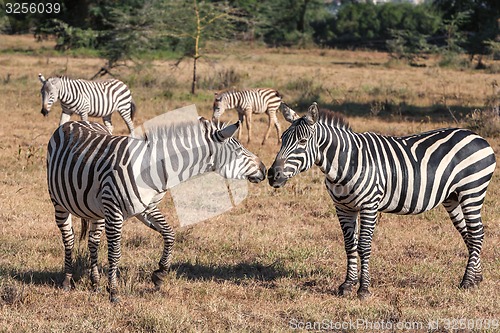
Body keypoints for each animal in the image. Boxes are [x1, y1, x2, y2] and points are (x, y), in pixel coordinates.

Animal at [46, 117, 266, 300]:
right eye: (240, 151)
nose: (264, 169)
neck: (153, 169)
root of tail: (74, 121)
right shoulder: (115, 211)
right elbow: (115, 252)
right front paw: (114, 291)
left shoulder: (146, 209)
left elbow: (170, 234)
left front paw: (160, 274)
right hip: (60, 202)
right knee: (69, 239)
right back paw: (67, 280)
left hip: (96, 209)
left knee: (93, 241)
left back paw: (95, 282)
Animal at [268, 102, 494, 298]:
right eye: (282, 139)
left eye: (302, 142)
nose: (272, 175)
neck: (346, 163)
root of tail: (477, 137)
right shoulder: (343, 207)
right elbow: (349, 245)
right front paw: (347, 285)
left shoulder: (369, 205)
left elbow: (364, 246)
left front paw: (363, 289)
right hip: (452, 197)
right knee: (468, 234)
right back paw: (476, 278)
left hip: (472, 191)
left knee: (477, 233)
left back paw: (467, 282)